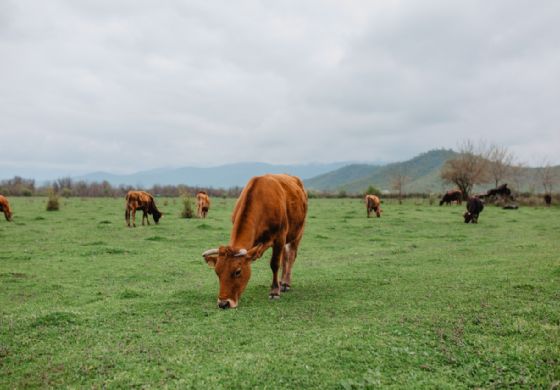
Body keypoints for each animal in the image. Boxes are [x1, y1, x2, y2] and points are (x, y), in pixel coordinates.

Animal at [202, 174, 308, 308]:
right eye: (217, 272)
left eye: (237, 271)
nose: (224, 303)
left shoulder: (280, 237)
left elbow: (274, 264)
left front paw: (274, 291)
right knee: (285, 257)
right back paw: (282, 282)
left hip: (298, 233)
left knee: (291, 256)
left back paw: (285, 283)